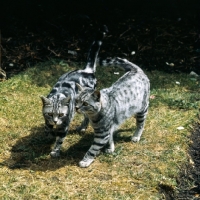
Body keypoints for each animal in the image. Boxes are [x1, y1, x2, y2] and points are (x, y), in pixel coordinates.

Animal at [40, 25, 108, 157]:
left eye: (61, 115)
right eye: (50, 114)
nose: (55, 121)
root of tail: (87, 71)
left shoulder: (64, 125)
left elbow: (59, 140)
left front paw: (55, 151)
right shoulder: (47, 120)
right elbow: (47, 128)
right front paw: (48, 135)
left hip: (83, 106)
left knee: (86, 117)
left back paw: (82, 128)